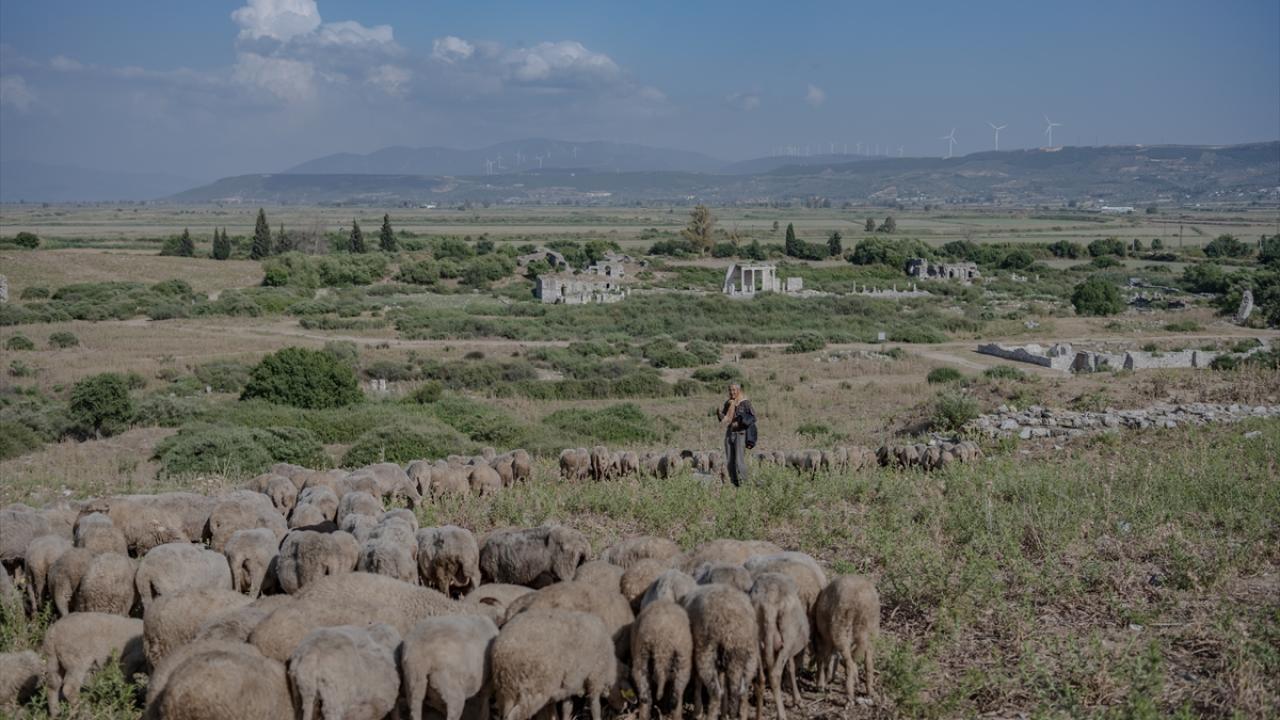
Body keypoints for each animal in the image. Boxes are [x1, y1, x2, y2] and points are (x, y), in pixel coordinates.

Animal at [491, 608, 620, 720]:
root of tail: (504, 653)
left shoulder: (570, 683)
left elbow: (567, 706)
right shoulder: (596, 675)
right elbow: (595, 705)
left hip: (505, 692)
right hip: (534, 690)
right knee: (515, 715)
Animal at [682, 584, 759, 720]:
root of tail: (731, 630)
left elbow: (698, 682)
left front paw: (697, 712)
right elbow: (723, 684)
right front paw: (723, 713)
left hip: (706, 651)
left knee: (715, 692)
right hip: (751, 656)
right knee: (743, 692)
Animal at [749, 573, 809, 720]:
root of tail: (768, 601)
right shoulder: (790, 648)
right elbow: (791, 668)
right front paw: (797, 700)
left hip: (757, 639)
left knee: (760, 678)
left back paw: (759, 715)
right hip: (787, 636)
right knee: (775, 674)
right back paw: (781, 714)